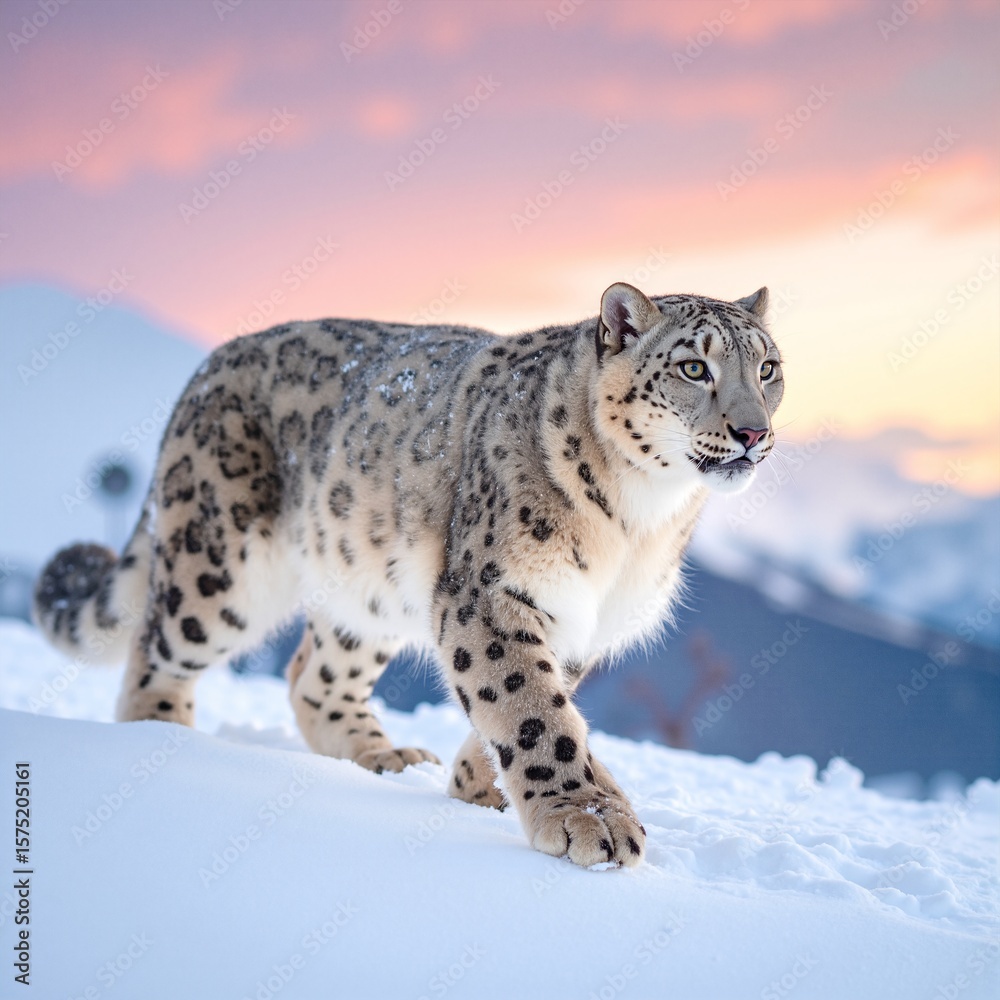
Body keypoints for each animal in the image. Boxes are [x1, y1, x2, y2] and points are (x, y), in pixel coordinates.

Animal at [33, 280, 783, 869]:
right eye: (694, 367)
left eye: (769, 368)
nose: (753, 433)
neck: (640, 523)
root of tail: (209, 364)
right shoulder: (491, 593)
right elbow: (531, 706)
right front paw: (585, 818)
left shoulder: (577, 621)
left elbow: (530, 700)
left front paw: (478, 785)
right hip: (220, 565)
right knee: (158, 649)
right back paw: (165, 740)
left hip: (364, 592)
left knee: (313, 676)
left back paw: (385, 755)